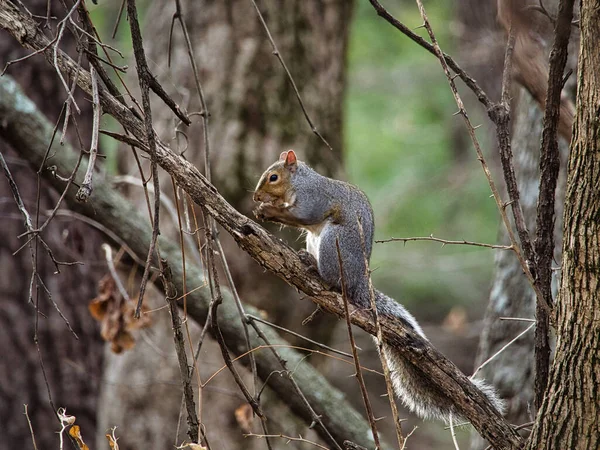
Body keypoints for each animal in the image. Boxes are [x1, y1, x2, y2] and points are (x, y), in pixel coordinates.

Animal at [253, 150, 506, 422]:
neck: (298, 183)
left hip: (334, 243)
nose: (256, 197)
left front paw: (270, 210)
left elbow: (303, 216)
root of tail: (358, 281)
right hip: (315, 240)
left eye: (273, 177)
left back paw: (314, 267)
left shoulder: (315, 199)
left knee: (333, 281)